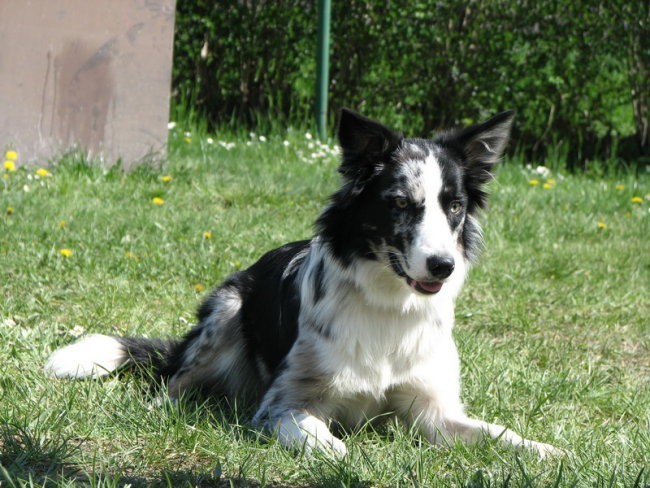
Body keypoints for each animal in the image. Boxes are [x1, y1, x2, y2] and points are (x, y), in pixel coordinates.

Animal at [46, 108, 556, 460]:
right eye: (399, 203)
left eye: (454, 205)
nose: (443, 265)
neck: (387, 304)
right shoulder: (282, 405)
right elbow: (319, 435)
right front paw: (340, 453)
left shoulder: (434, 411)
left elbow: (497, 433)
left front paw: (546, 452)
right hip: (229, 308)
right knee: (173, 380)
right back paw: (164, 408)